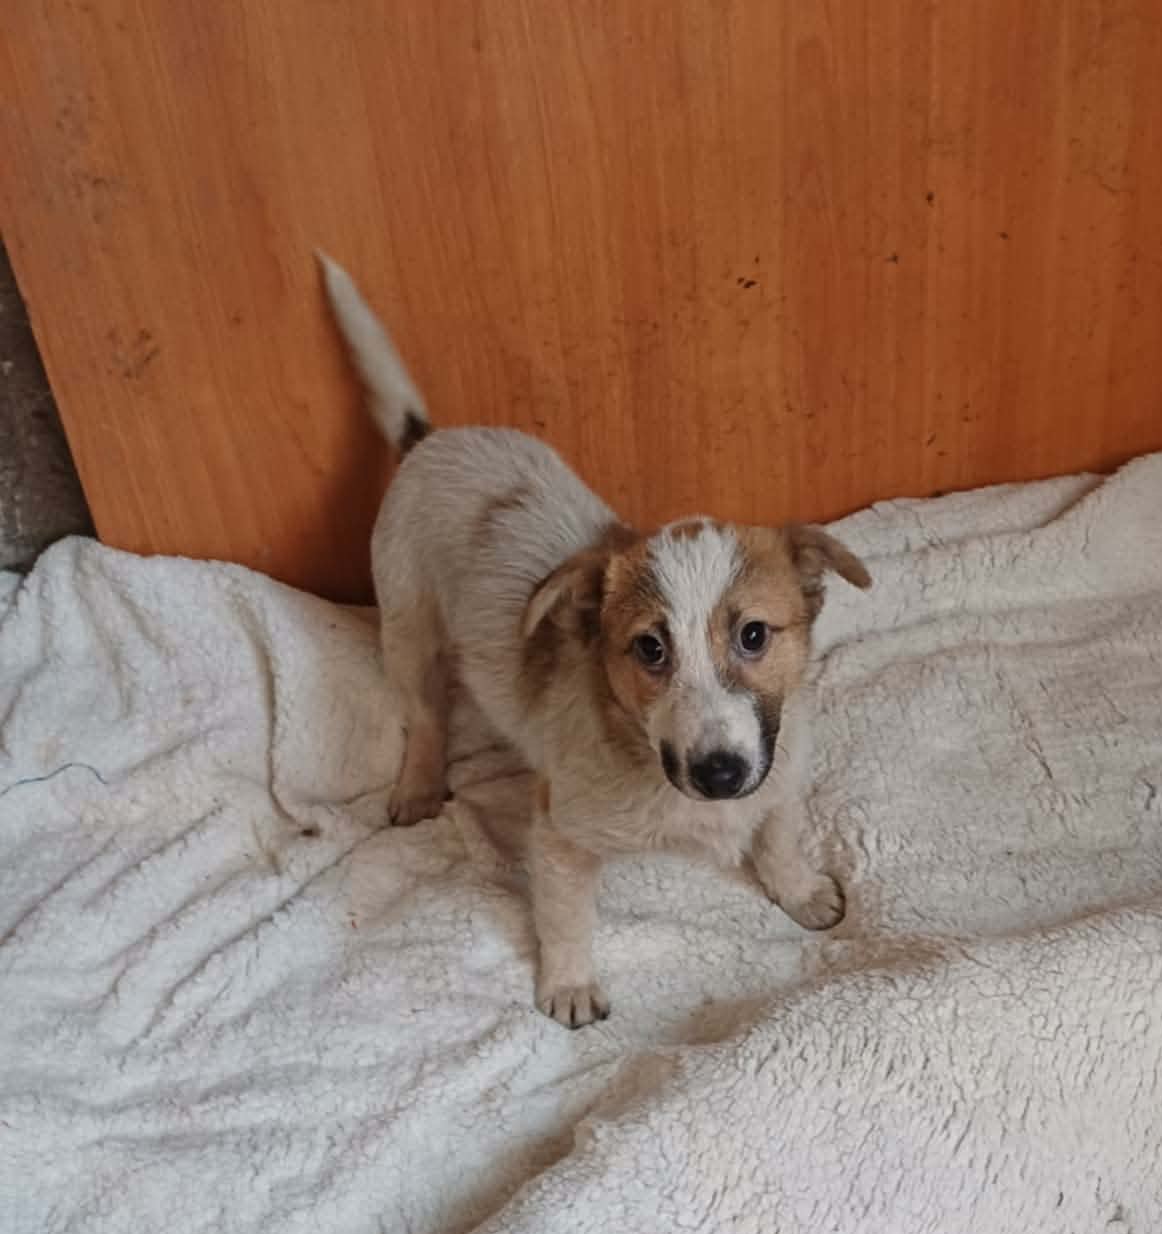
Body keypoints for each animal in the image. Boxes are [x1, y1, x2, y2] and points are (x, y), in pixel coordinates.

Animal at [320, 254, 871, 1028]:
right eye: (649, 650)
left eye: (755, 635)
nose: (719, 774)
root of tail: (430, 440)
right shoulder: (560, 834)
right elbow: (565, 919)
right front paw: (571, 984)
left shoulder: (780, 772)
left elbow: (778, 836)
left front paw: (799, 891)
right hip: (407, 623)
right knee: (425, 714)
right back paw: (420, 784)